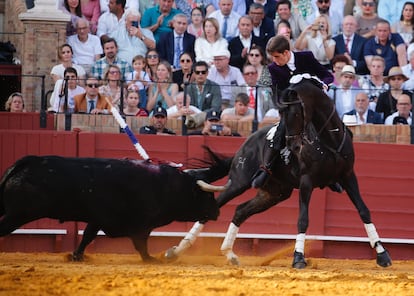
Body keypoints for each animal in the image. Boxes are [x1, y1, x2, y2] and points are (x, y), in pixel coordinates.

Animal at [0, 155, 231, 262]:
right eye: (206, 195)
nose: (217, 212)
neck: (170, 185)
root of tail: (26, 163)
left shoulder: (97, 219)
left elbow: (88, 236)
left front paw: (76, 256)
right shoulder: (141, 224)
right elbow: (141, 243)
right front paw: (151, 260)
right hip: (18, 213)